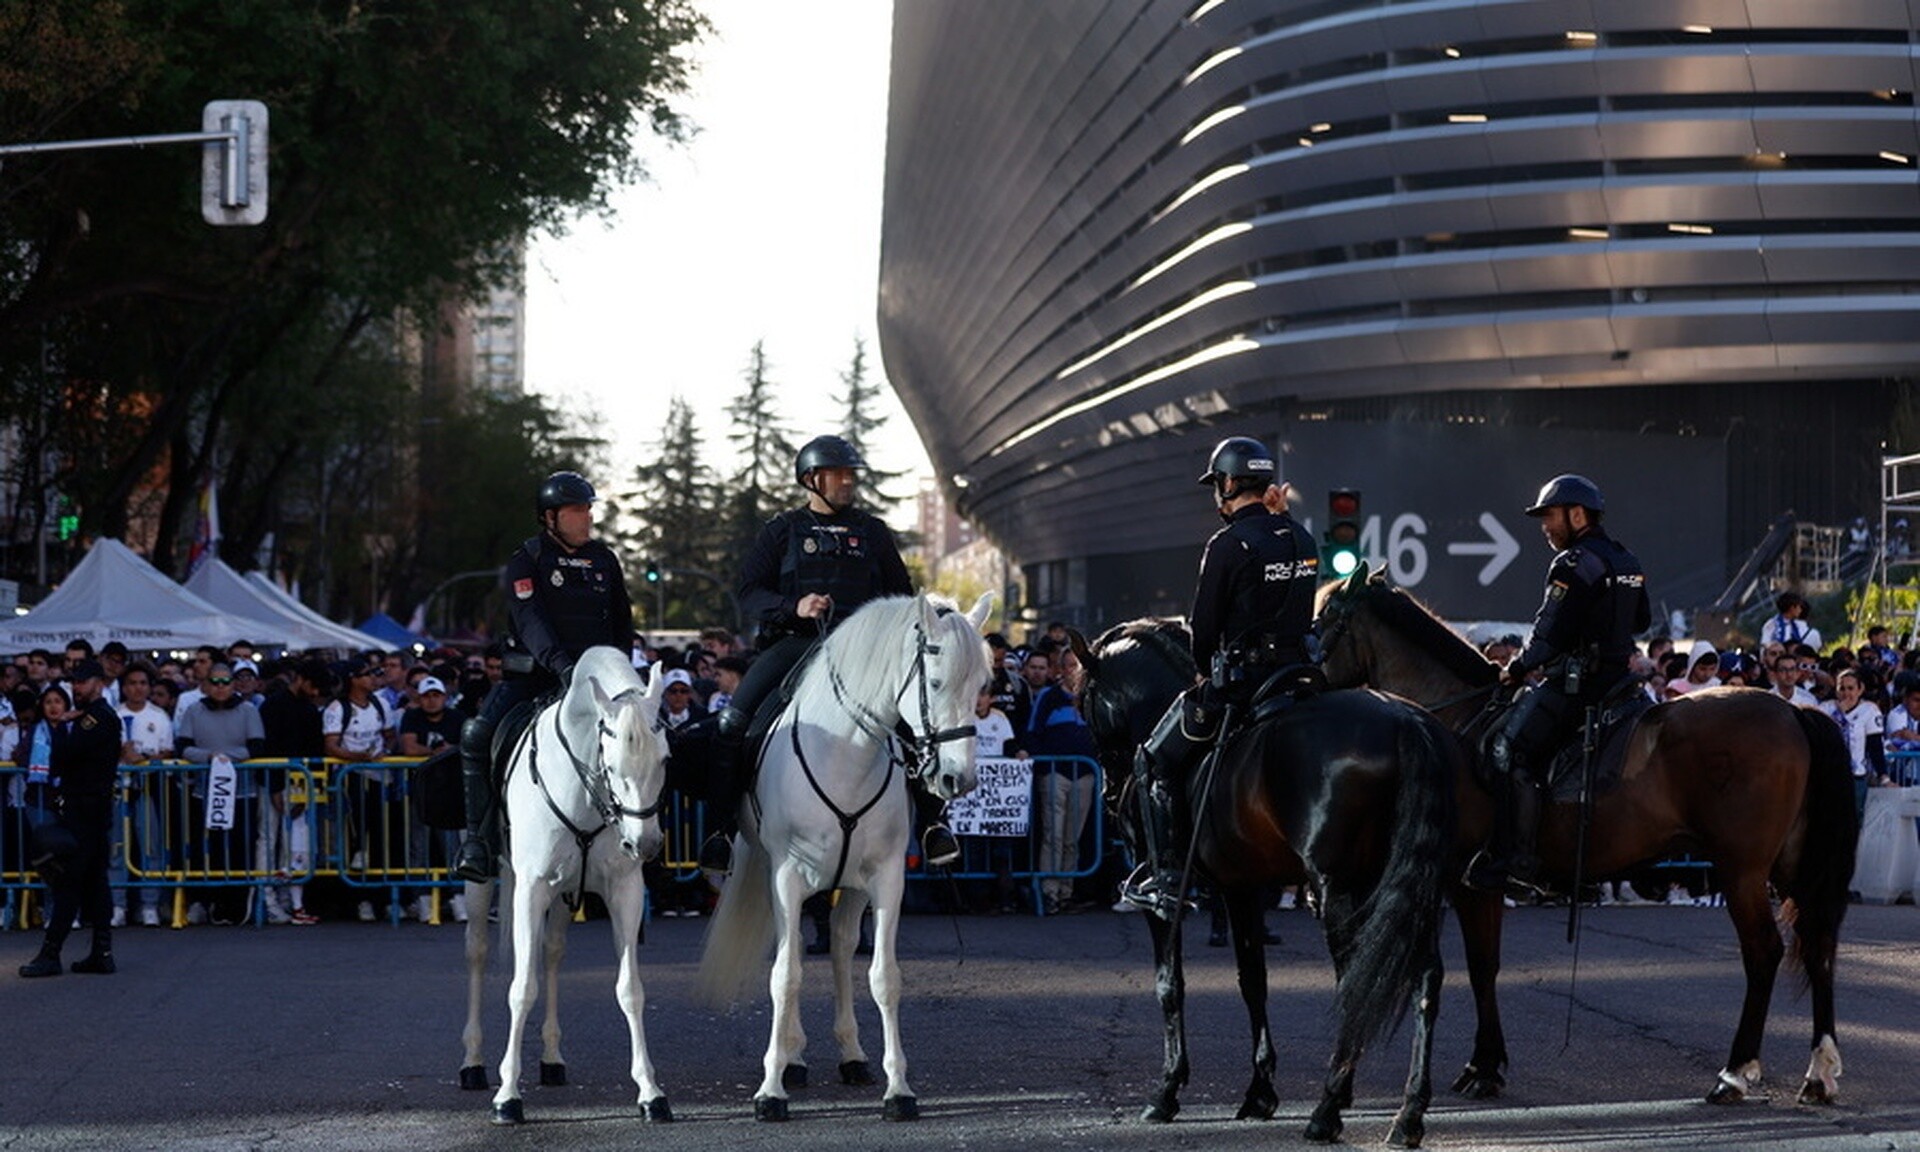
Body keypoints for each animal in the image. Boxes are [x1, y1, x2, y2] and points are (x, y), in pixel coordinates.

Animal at [458, 648, 675, 1121]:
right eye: (611, 765)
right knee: (477, 954)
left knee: (553, 953)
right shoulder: (531, 889)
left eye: (665, 760)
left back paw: (552, 1059)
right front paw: (508, 1096)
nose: (645, 844)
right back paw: (473, 1063)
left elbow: (630, 989)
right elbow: (522, 988)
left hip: (562, 895)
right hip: (483, 885)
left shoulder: (624, 891)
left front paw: (651, 1091)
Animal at [698, 595, 990, 1113]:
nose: (958, 779)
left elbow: (884, 977)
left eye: (980, 686)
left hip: (848, 888)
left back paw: (851, 1057)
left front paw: (899, 1089)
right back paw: (792, 1060)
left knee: (837, 945)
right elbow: (786, 975)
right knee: (792, 948)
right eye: (935, 682)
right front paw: (770, 1089)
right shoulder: (787, 877)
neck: (846, 756)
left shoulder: (885, 879)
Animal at [1075, 622, 1459, 1144]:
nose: (1112, 794)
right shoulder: (1242, 888)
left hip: (1339, 887)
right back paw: (1408, 1114)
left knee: (1353, 979)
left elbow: (1169, 985)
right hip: (1404, 886)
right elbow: (1252, 981)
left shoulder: (1163, 905)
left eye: (1082, 700)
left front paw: (1167, 1090)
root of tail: (1405, 724)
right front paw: (1259, 1091)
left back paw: (1327, 1110)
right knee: (1423, 977)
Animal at [1320, 568, 1858, 1105]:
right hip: (1790, 866)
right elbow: (1486, 966)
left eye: (1325, 618)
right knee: (1818, 946)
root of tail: (1794, 714)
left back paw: (1735, 1072)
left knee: (1764, 952)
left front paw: (1483, 1066)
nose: (1303, 681)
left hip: (1741, 869)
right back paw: (1818, 1071)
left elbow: (1478, 966)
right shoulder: (1479, 885)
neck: (1457, 722)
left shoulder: (1467, 879)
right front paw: (1488, 1064)